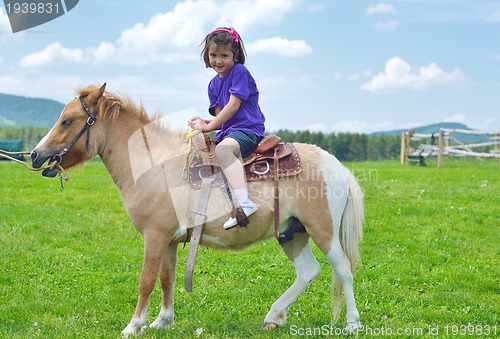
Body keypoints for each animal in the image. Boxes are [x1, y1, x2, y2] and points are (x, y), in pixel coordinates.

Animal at [30, 84, 364, 338]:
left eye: (68, 120)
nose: (35, 155)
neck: (154, 164)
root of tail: (336, 166)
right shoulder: (169, 239)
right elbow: (166, 277)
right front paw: (162, 321)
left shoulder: (154, 235)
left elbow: (146, 279)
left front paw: (133, 325)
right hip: (291, 232)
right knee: (308, 272)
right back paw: (273, 315)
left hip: (323, 231)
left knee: (343, 270)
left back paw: (352, 323)